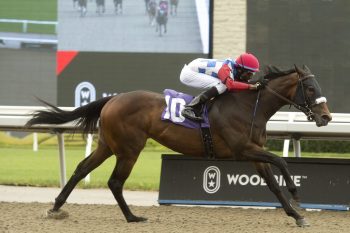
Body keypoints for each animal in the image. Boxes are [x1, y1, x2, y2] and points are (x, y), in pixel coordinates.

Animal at [26, 65, 330, 226]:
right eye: (310, 89)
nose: (326, 117)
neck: (249, 107)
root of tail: (113, 99)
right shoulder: (242, 149)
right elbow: (281, 161)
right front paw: (297, 194)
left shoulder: (254, 154)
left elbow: (273, 185)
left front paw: (296, 215)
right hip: (129, 149)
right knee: (115, 182)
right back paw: (132, 217)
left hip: (108, 145)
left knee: (81, 169)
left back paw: (56, 207)